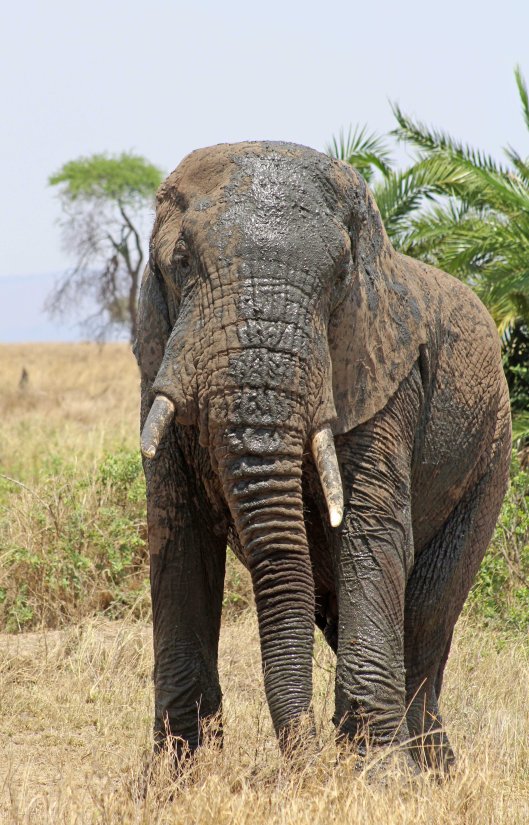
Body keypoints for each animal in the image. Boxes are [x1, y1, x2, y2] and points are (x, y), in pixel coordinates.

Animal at [134, 141, 511, 772]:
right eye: (181, 261)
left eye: (339, 278)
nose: (302, 763)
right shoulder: (159, 362)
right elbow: (178, 535)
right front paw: (175, 778)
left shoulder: (386, 379)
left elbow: (371, 532)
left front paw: (380, 778)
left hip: (490, 460)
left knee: (427, 615)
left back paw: (429, 770)